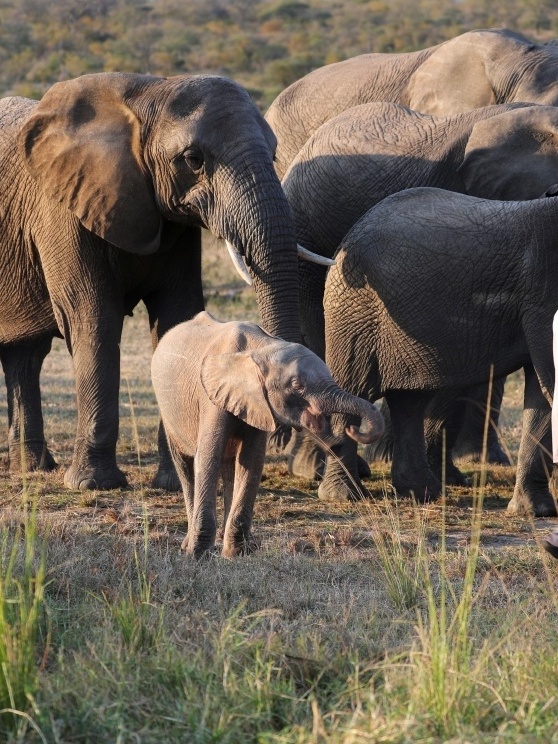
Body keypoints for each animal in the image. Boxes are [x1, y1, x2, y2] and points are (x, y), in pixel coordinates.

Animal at [0, 74, 328, 494]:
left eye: (273, 156)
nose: (281, 435)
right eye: (193, 159)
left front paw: (174, 481)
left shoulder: (176, 226)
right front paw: (93, 484)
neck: (147, 93)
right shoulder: (62, 210)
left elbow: (177, 317)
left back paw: (34, 468)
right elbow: (93, 318)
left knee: (25, 357)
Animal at [151, 310, 384, 560]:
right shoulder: (211, 400)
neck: (261, 348)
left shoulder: (257, 404)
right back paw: (188, 545)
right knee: (186, 466)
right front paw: (197, 554)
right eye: (297, 385)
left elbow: (251, 462)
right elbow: (208, 458)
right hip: (168, 410)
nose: (351, 430)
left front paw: (237, 553)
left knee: (229, 465)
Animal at [322, 187, 558, 516]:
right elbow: (550, 382)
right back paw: (345, 496)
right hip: (353, 315)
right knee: (354, 391)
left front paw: (536, 512)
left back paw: (421, 492)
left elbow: (541, 392)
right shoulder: (544, 291)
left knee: (409, 400)